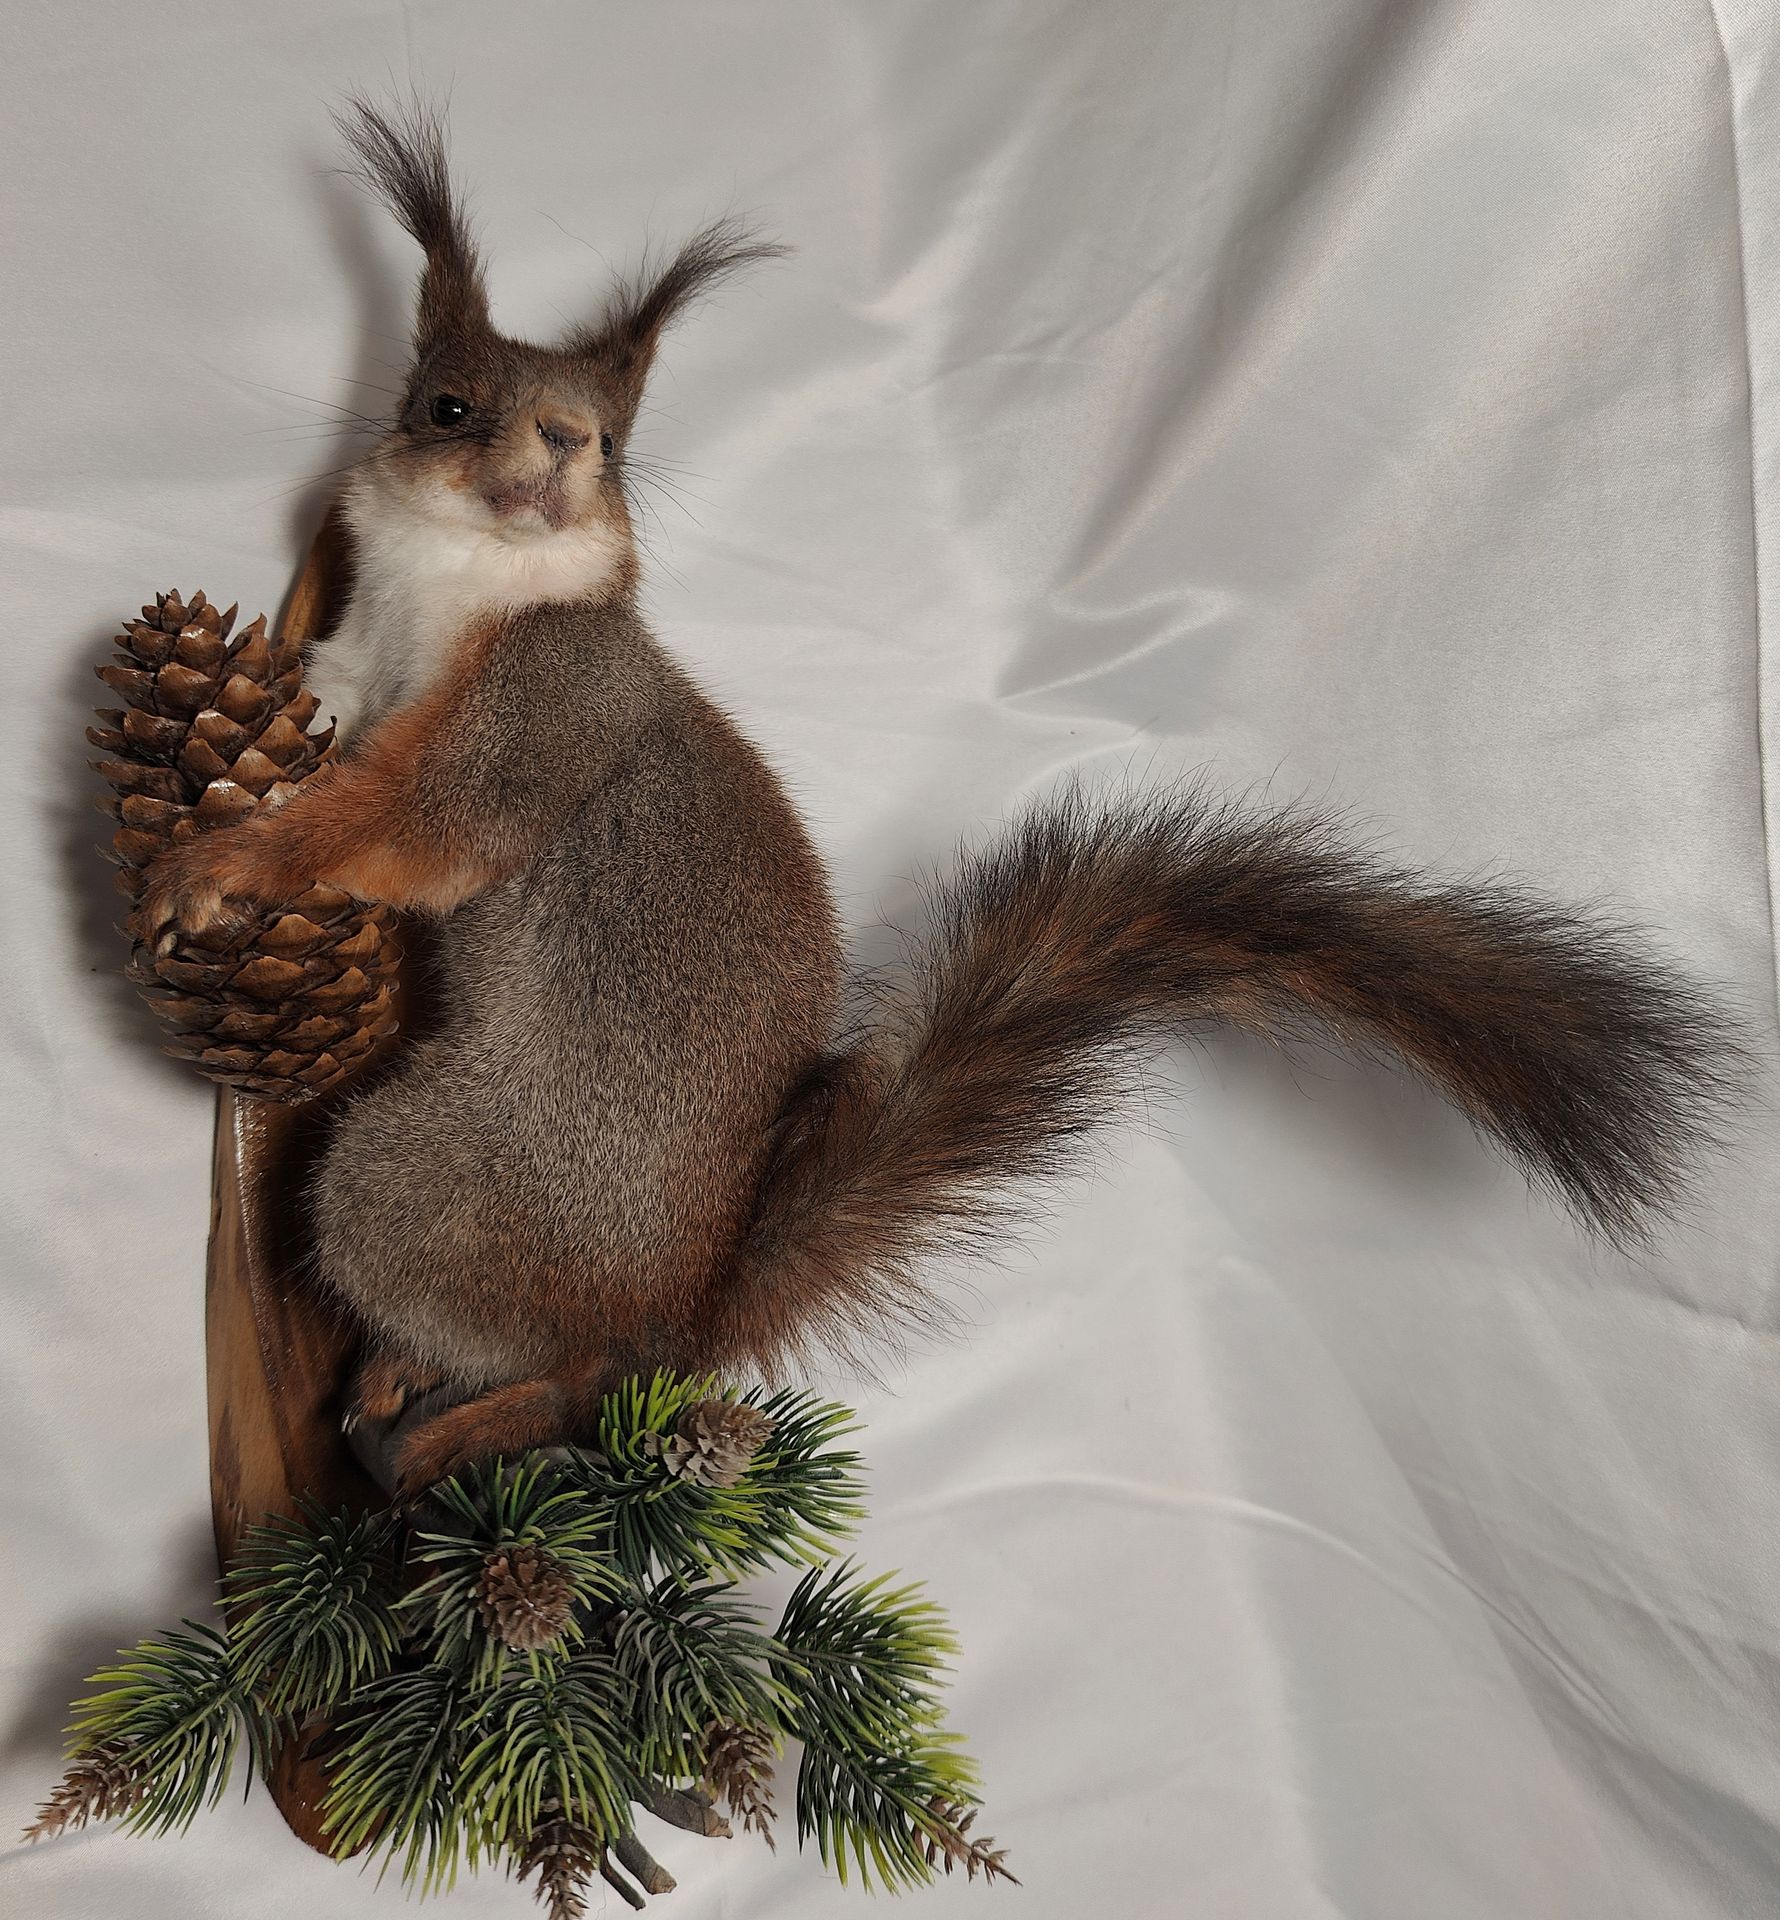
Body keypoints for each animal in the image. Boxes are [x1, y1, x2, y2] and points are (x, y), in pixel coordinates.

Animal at [140, 102, 1738, 1495]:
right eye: (447, 404)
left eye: (614, 437)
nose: (560, 452)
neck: (457, 590)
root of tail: (684, 1308)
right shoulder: (377, 657)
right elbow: (341, 703)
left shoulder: (546, 710)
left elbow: (413, 828)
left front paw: (227, 864)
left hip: (423, 1184)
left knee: (575, 1372)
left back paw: (443, 1415)